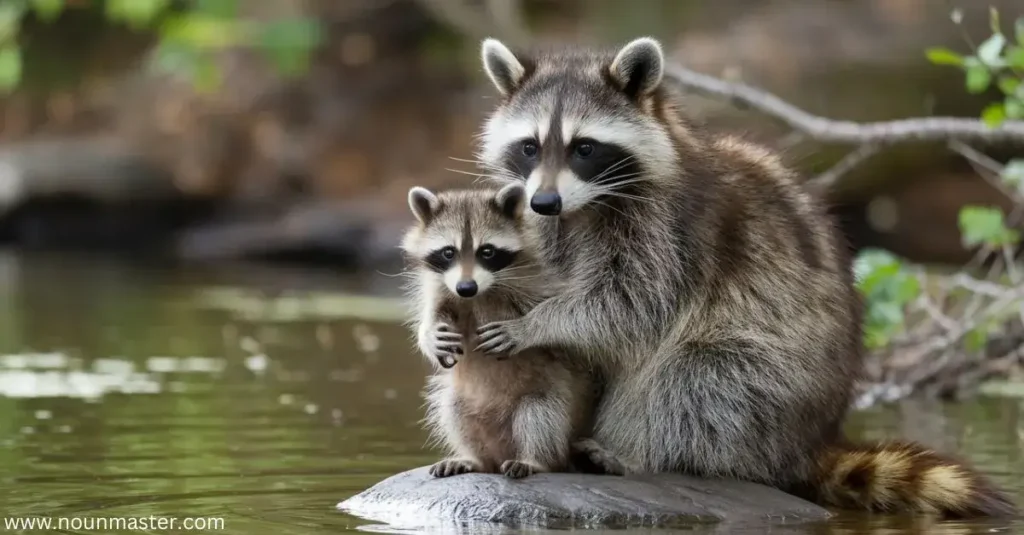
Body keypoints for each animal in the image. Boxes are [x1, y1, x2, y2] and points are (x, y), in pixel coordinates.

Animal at [397, 183, 614, 479]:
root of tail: (501, 453)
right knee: (452, 407)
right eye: (448, 252)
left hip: (549, 408)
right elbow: (433, 317)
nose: (466, 287)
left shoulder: (539, 283)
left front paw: (524, 331)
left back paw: (536, 460)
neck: (479, 294)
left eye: (487, 252)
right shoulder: (440, 286)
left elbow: (574, 341)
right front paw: (429, 336)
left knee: (540, 415)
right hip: (471, 416)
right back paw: (474, 458)